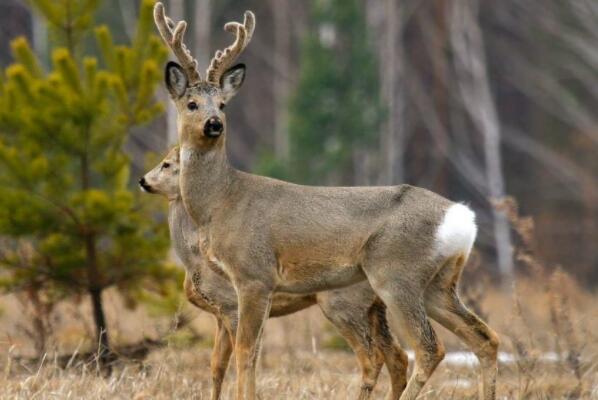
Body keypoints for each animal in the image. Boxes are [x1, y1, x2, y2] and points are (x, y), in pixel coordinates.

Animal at [141, 148, 410, 400]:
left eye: (167, 164)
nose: (143, 181)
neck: (194, 259)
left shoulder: (230, 305)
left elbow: (239, 359)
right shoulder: (220, 314)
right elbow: (216, 366)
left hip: (343, 304)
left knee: (374, 358)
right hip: (374, 308)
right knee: (398, 357)